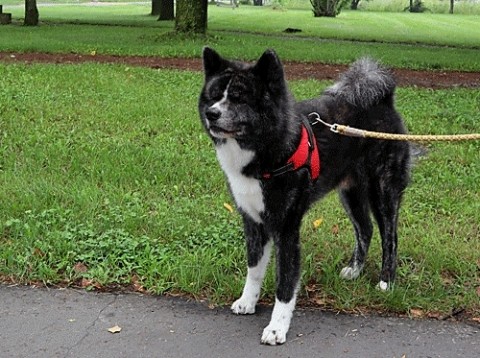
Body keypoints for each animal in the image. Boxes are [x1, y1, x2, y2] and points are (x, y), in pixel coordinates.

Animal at [197, 47, 410, 344]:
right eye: (215, 95)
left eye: (239, 98)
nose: (211, 113)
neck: (267, 148)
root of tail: (384, 102)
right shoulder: (253, 222)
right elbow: (254, 269)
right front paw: (248, 301)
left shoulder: (287, 228)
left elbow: (285, 283)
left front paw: (277, 328)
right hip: (351, 192)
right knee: (365, 229)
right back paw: (355, 270)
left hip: (383, 190)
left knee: (390, 236)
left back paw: (386, 281)